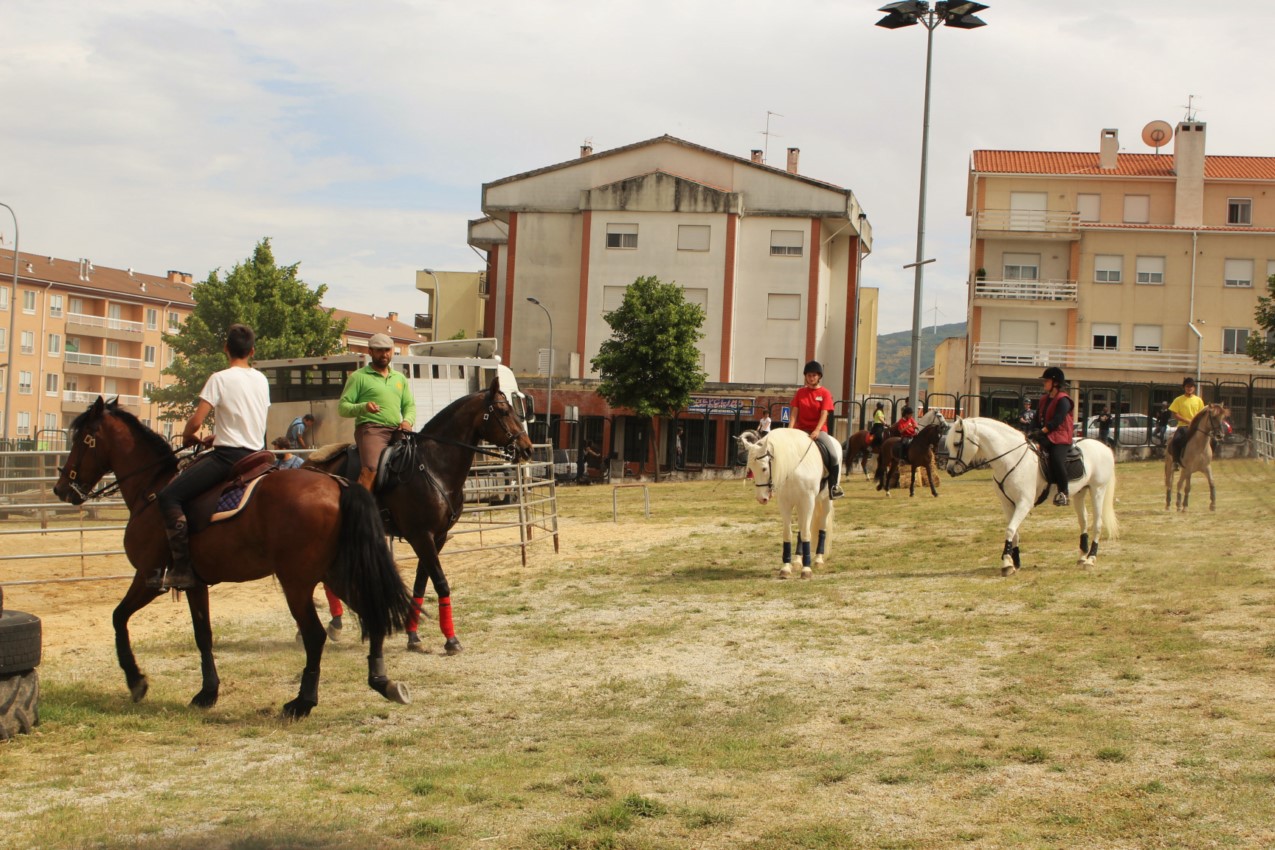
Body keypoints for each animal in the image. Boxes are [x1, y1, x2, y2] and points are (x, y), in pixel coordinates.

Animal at [53, 400, 413, 718]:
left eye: (83, 439)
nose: (61, 488)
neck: (151, 490)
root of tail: (337, 485)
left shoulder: (148, 576)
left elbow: (118, 618)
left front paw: (136, 681)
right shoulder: (195, 584)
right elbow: (203, 635)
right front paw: (207, 692)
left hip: (297, 583)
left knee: (315, 635)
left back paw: (302, 702)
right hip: (336, 573)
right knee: (374, 615)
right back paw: (383, 682)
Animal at [304, 374, 532, 657]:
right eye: (503, 411)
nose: (527, 449)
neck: (433, 468)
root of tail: (309, 464)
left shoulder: (438, 537)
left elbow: (420, 584)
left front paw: (413, 636)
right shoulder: (421, 536)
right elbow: (440, 582)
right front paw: (451, 639)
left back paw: (336, 623)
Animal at [744, 428, 831, 581]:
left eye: (764, 469)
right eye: (751, 470)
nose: (761, 499)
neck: (793, 468)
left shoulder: (807, 501)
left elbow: (806, 533)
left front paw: (806, 569)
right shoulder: (785, 503)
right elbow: (788, 533)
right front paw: (786, 568)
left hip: (824, 500)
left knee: (822, 525)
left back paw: (818, 559)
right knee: (801, 528)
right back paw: (797, 561)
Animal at [948, 417, 1116, 578]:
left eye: (957, 443)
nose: (950, 470)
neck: (1011, 459)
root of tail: (1104, 447)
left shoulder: (1024, 503)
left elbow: (1010, 529)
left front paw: (1007, 563)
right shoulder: (1008, 504)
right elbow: (1015, 532)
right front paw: (1015, 562)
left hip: (1098, 490)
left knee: (1097, 524)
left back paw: (1090, 559)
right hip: (1080, 493)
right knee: (1083, 521)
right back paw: (1082, 557)